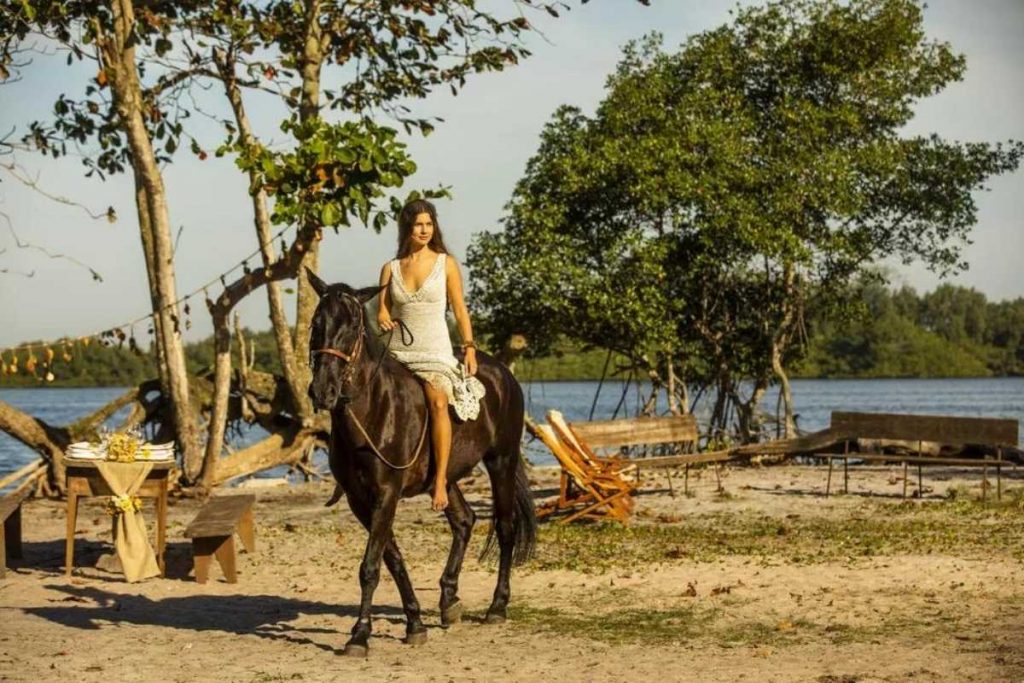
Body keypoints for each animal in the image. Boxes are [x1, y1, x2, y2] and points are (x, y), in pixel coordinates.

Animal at [305, 269, 536, 656]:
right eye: (316, 322)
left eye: (352, 326)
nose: (323, 391)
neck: (372, 408)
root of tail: (503, 373)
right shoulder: (359, 500)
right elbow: (392, 559)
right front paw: (414, 622)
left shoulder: (386, 493)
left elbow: (370, 566)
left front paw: (359, 635)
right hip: (446, 477)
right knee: (464, 521)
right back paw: (449, 601)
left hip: (501, 461)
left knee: (505, 527)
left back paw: (497, 606)